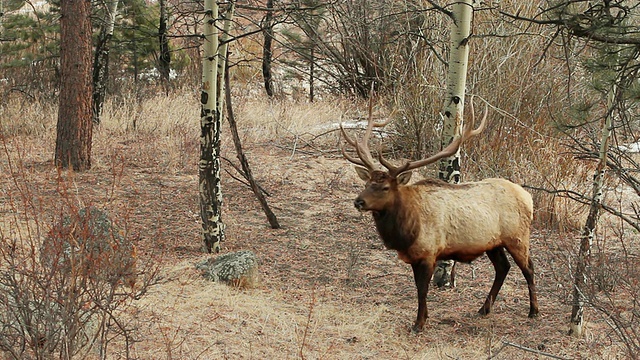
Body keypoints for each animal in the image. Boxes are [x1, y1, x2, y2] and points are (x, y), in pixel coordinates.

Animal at [342, 99, 536, 332]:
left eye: (385, 187)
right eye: (367, 183)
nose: (358, 202)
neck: (407, 232)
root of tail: (529, 197)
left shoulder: (429, 252)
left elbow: (422, 290)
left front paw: (419, 323)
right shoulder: (415, 256)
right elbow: (418, 288)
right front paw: (424, 318)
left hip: (517, 236)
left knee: (529, 268)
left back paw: (533, 311)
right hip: (493, 243)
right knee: (503, 267)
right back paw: (484, 309)